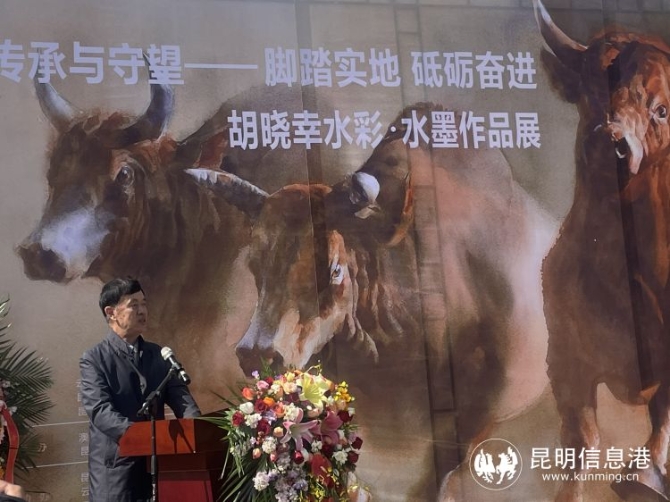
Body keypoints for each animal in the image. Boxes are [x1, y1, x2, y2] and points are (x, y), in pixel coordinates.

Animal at [535, 0, 670, 500]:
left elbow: (663, 418)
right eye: (592, 89)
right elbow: (581, 441)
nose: (610, 141)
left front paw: (644, 477)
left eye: (661, 109)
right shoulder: (565, 360)